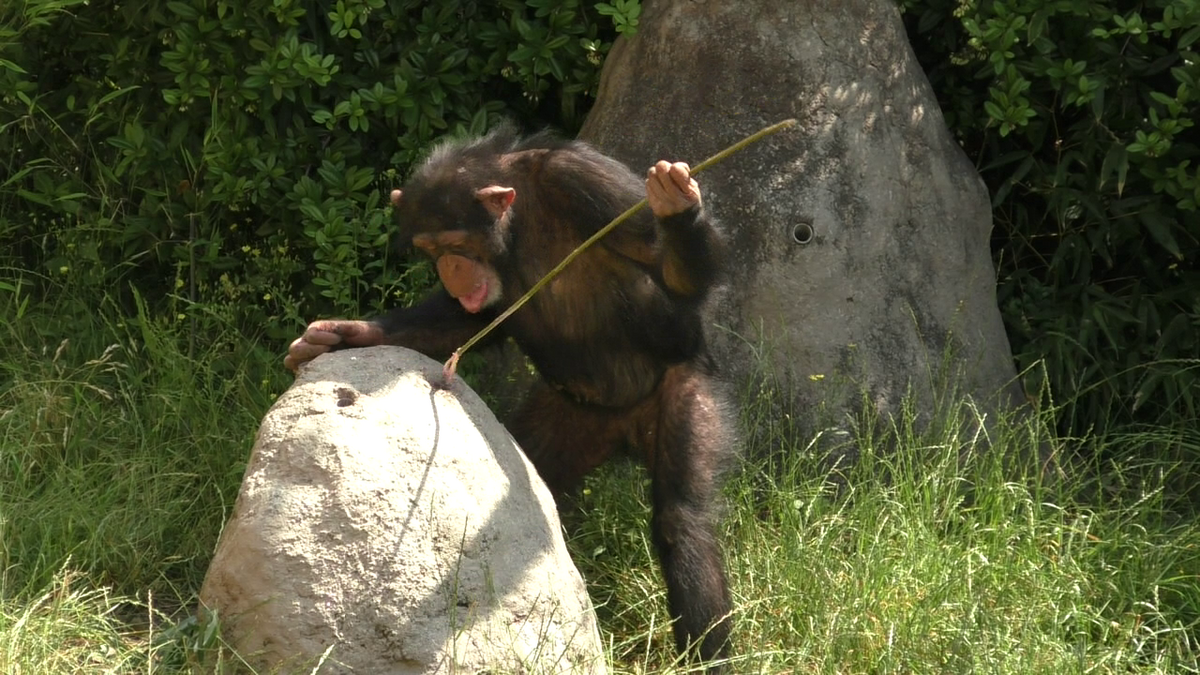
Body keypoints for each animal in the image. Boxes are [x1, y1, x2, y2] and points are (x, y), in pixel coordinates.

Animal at [285, 123, 734, 662]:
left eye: (457, 242)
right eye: (431, 248)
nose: (451, 269)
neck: (516, 224)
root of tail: (620, 424)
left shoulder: (586, 182)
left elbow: (663, 263)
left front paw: (677, 205)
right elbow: (471, 319)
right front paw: (343, 335)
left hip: (681, 389)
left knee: (682, 521)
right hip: (562, 422)